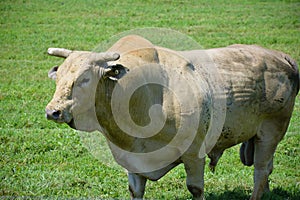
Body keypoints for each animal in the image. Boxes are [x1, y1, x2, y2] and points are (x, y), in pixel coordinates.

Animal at [45, 35, 298, 199]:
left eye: (85, 78)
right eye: (59, 77)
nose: (52, 111)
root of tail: (282, 56)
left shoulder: (194, 154)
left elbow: (196, 188)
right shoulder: (131, 161)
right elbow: (136, 190)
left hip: (271, 131)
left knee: (261, 171)